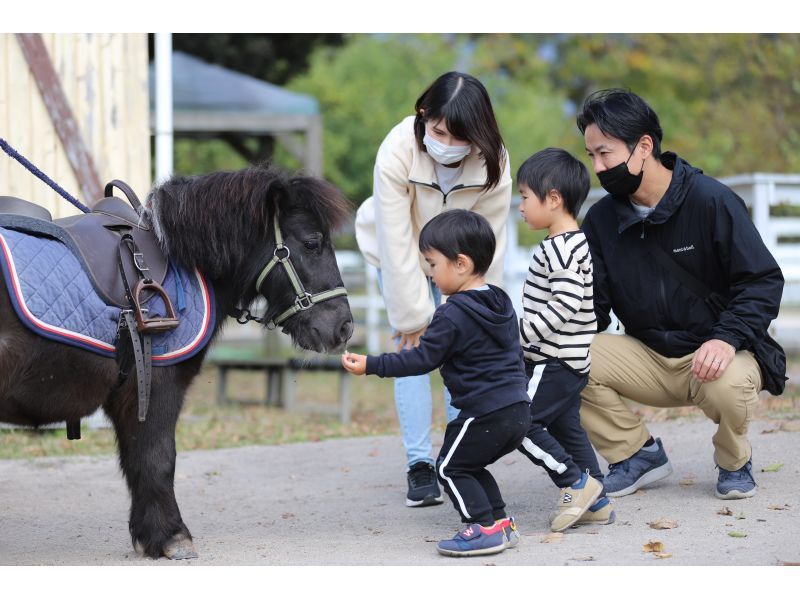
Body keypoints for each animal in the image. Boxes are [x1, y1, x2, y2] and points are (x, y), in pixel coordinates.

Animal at [0, 163, 354, 556]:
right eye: (312, 243)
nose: (344, 327)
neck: (180, 259)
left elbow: (138, 459)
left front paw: (149, 534)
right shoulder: (158, 386)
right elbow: (158, 458)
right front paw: (172, 535)